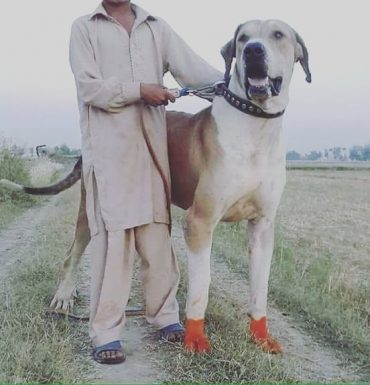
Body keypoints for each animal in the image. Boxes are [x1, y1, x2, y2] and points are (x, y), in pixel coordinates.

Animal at [2, 19, 310, 352]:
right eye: (243, 38)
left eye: (278, 35)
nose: (253, 50)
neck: (255, 125)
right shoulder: (200, 222)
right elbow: (201, 287)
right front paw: (195, 339)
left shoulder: (262, 225)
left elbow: (259, 288)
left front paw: (261, 336)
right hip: (89, 207)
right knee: (73, 254)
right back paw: (64, 297)